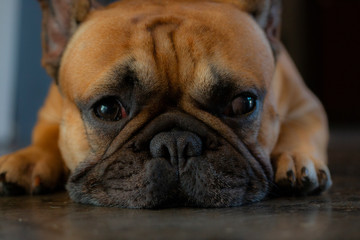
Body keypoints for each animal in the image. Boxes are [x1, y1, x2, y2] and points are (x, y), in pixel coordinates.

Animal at [0, 0, 332, 207]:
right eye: (107, 109)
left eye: (243, 104)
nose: (176, 144)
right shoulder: (50, 112)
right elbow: (47, 137)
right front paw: (27, 159)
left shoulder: (306, 104)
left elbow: (301, 128)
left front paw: (296, 157)